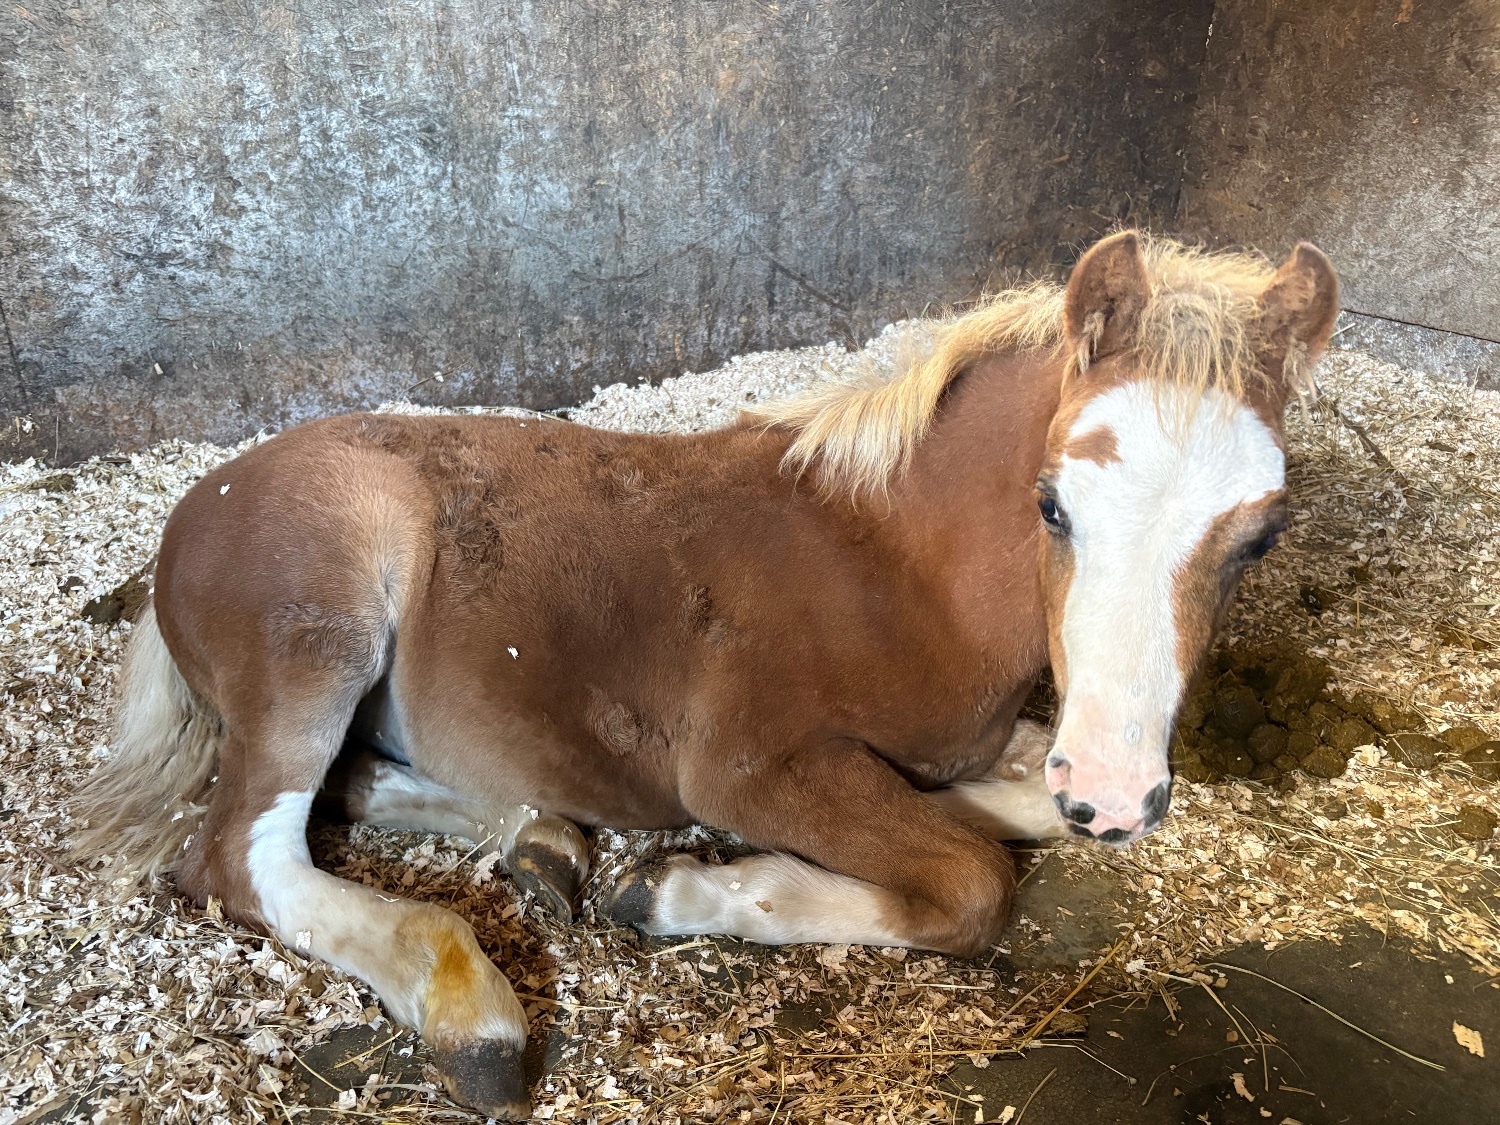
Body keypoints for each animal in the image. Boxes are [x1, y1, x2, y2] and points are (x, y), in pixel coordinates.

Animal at [74, 230, 1339, 1118]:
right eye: (1053, 502)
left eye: (1263, 534)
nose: (1119, 797)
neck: (891, 568)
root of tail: (189, 516)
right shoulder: (749, 768)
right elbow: (974, 881)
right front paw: (690, 892)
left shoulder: (1002, 747)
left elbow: (1008, 803)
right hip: (323, 627)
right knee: (240, 852)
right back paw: (472, 1007)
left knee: (347, 787)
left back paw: (542, 841)